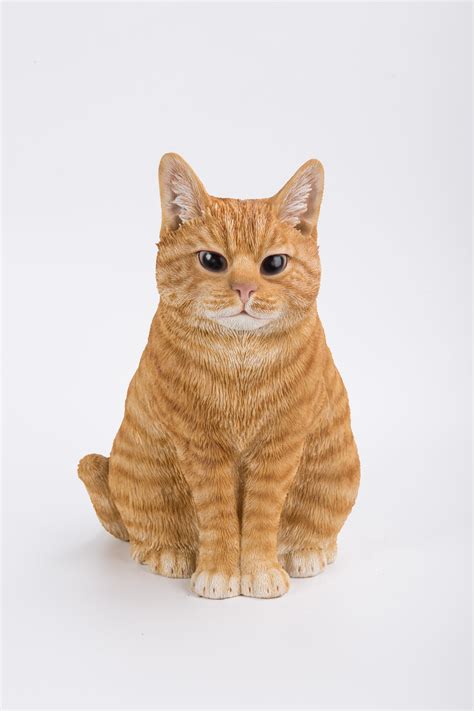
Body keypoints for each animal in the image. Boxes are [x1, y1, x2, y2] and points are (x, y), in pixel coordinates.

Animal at [78, 153, 360, 596]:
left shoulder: (280, 447)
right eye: (212, 260)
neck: (239, 358)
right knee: (142, 529)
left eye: (274, 264)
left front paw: (259, 572)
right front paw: (220, 572)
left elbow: (262, 517)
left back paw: (306, 551)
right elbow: (218, 515)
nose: (244, 289)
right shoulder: (201, 448)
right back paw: (167, 552)